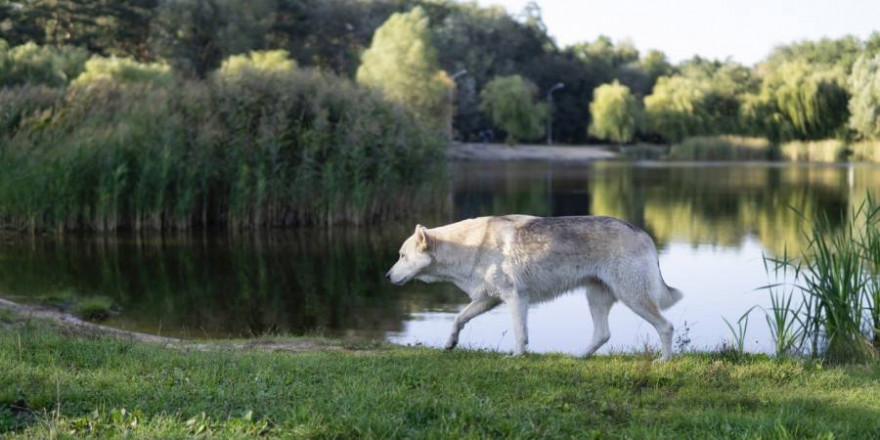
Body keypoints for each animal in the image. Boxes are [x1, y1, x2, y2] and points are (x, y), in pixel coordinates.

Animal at [388, 214, 684, 360]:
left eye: (401, 256)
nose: (387, 276)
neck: (469, 246)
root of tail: (643, 233)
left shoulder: (514, 298)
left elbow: (520, 333)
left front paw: (517, 357)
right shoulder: (488, 299)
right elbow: (457, 319)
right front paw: (450, 344)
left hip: (633, 298)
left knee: (666, 326)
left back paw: (664, 361)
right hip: (596, 298)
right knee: (603, 334)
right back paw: (579, 358)